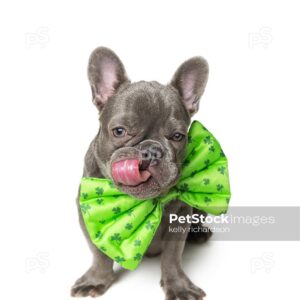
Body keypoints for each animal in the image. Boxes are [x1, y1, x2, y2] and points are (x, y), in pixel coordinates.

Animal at [71, 47, 211, 300]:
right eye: (119, 131)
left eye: (177, 136)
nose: (152, 150)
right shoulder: (88, 213)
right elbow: (98, 254)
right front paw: (96, 279)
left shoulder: (180, 216)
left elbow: (172, 256)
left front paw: (178, 286)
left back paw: (198, 233)